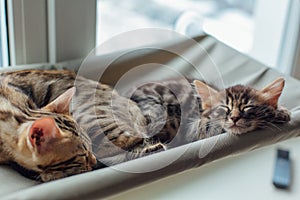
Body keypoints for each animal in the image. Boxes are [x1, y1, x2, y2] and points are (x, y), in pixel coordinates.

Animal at [129, 77, 290, 146]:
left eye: (247, 107)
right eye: (225, 108)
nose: (234, 118)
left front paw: (281, 111)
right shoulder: (196, 128)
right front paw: (277, 114)